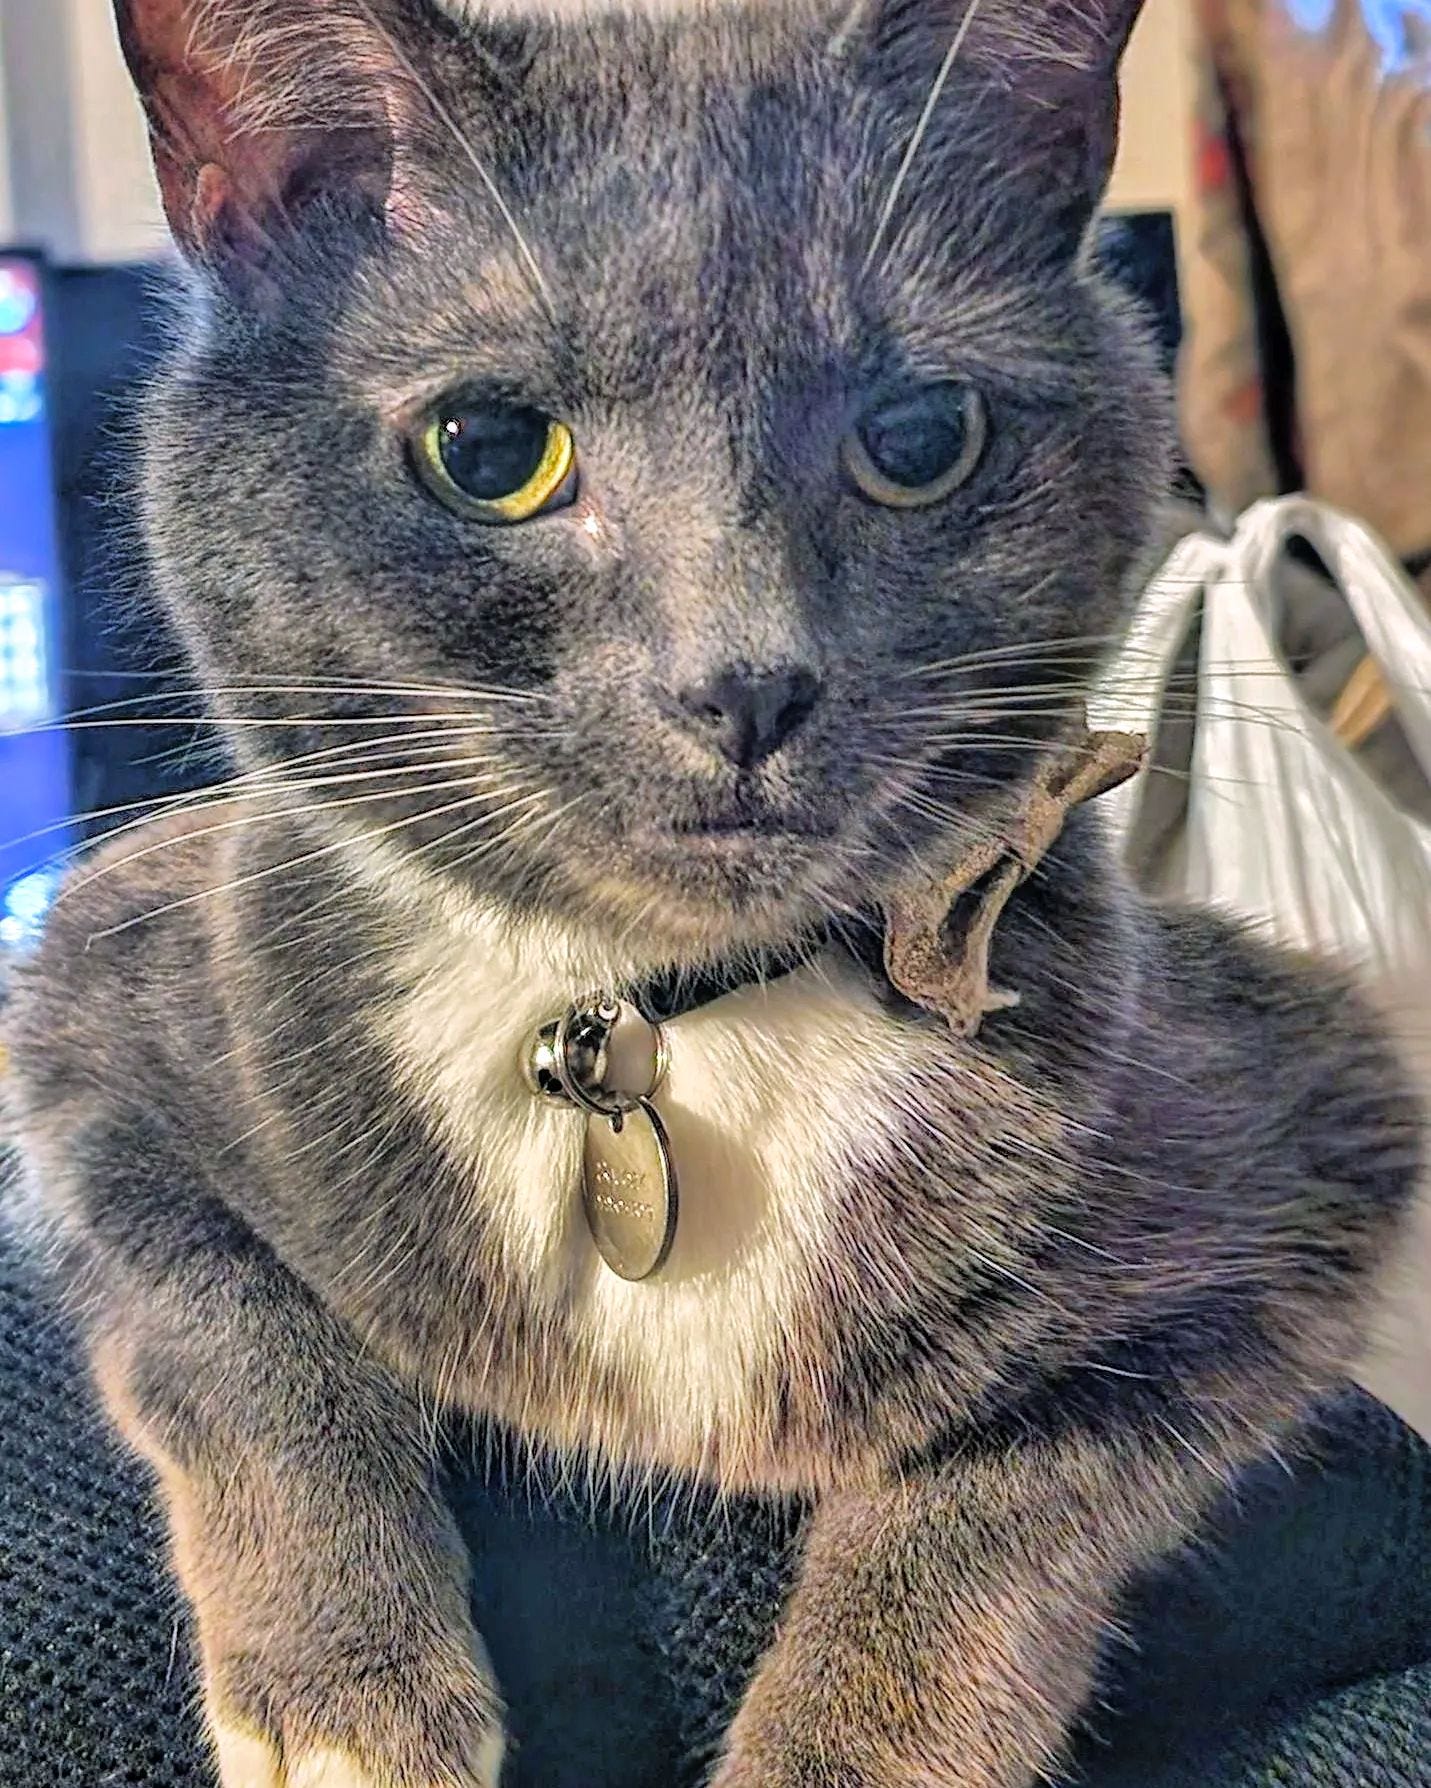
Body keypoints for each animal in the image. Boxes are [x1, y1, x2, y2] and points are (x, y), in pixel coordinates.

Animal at [8, 0, 1416, 1780]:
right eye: (488, 451)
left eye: (917, 440)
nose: (745, 683)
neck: (659, 1009)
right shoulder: (98, 986)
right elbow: (231, 1321)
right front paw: (347, 1701)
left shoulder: (1308, 1127)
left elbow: (1010, 1482)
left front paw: (839, 1735)